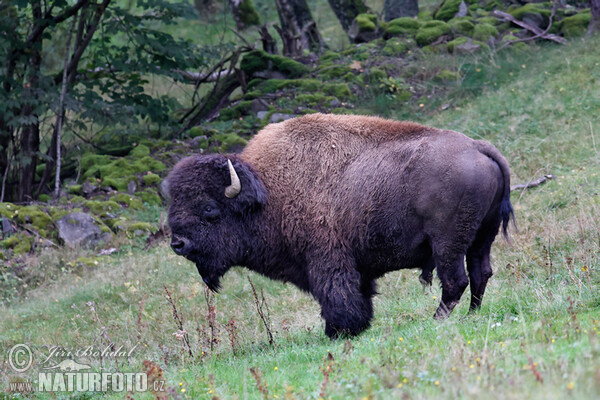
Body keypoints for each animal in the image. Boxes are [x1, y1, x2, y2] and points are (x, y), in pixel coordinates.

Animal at [166, 112, 512, 338]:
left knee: (455, 280)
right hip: (482, 236)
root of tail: (478, 147)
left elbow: (337, 295)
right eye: (174, 204)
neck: (269, 191)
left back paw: (436, 320)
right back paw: (472, 315)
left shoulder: (327, 260)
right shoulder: (355, 266)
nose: (177, 243)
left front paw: (338, 331)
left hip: (447, 243)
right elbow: (360, 294)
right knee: (480, 273)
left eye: (209, 209)